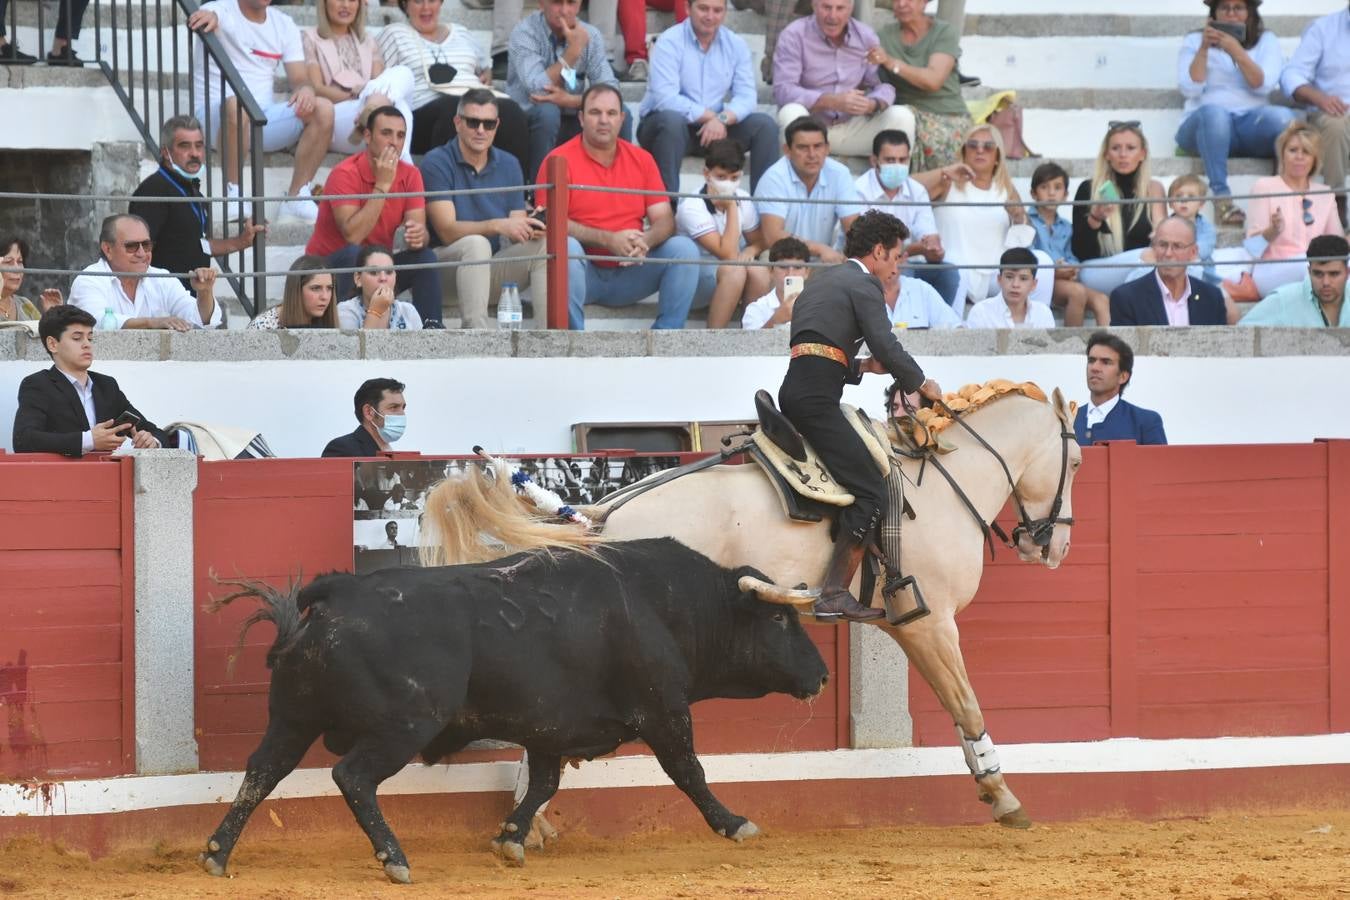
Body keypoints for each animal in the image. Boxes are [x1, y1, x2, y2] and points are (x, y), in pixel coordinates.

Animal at [199, 539, 831, 885]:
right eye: (780, 619)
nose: (823, 676)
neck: (668, 605)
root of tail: (338, 595)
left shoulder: (550, 727)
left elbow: (544, 783)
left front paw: (510, 839)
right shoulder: (664, 711)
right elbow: (689, 772)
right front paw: (735, 823)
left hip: (292, 720)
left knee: (260, 772)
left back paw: (215, 856)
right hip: (403, 725)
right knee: (351, 776)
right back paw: (395, 859)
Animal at [426, 391, 1080, 825]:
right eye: (1074, 462)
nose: (1053, 547)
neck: (942, 482)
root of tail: (600, 518)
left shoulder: (908, 626)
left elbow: (957, 701)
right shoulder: (931, 621)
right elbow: (965, 702)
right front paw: (1004, 797)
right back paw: (533, 817)